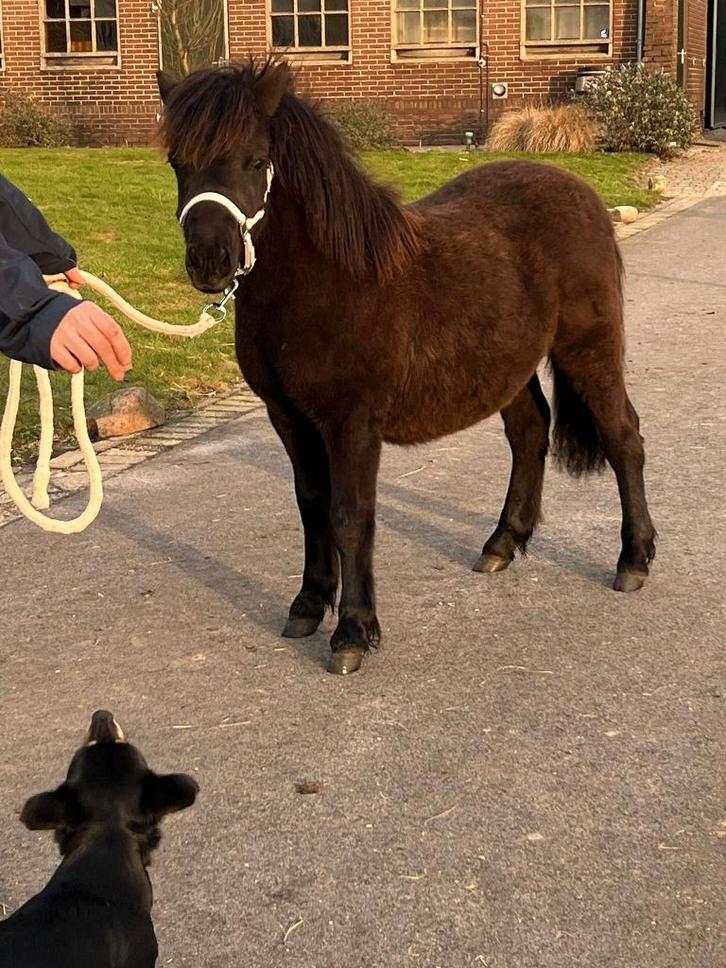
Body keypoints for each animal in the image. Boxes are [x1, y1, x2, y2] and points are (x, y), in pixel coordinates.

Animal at [156, 59, 656, 676]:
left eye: (254, 160)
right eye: (178, 162)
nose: (210, 262)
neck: (327, 283)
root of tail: (582, 193)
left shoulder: (352, 424)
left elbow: (351, 517)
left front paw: (352, 633)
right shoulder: (288, 418)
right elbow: (312, 507)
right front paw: (308, 605)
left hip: (589, 350)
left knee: (623, 438)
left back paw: (633, 561)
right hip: (506, 368)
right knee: (529, 434)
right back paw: (501, 545)